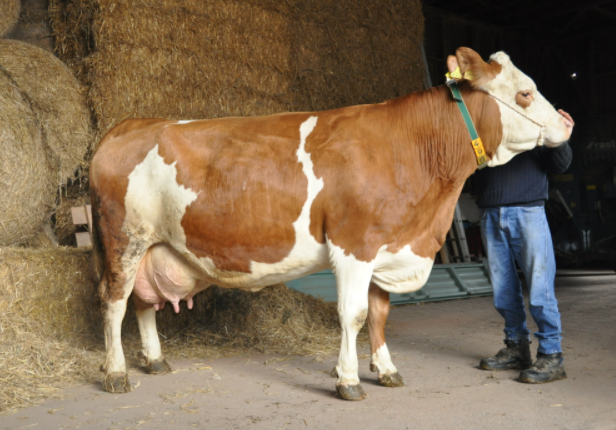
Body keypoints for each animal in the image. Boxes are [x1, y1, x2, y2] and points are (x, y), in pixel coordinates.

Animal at [90, 48, 572, 402]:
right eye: (525, 93)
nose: (567, 122)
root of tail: (128, 125)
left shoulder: (385, 247)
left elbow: (379, 313)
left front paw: (386, 370)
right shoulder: (354, 245)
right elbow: (353, 314)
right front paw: (349, 380)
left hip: (154, 245)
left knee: (142, 302)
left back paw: (154, 360)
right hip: (124, 239)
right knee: (114, 302)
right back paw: (116, 373)